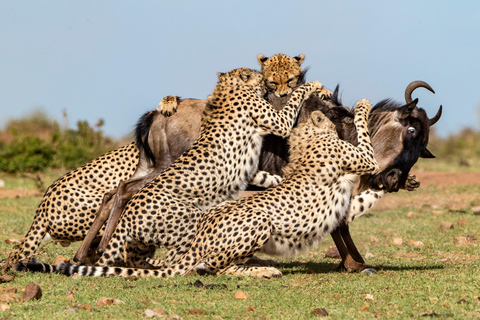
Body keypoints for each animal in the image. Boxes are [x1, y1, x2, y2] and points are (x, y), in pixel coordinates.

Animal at [53, 99, 378, 278]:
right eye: (326, 105)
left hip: (150, 168)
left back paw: (90, 254)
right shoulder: (363, 162)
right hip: (172, 176)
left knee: (116, 193)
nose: (342, 111)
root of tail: (155, 115)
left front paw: (354, 262)